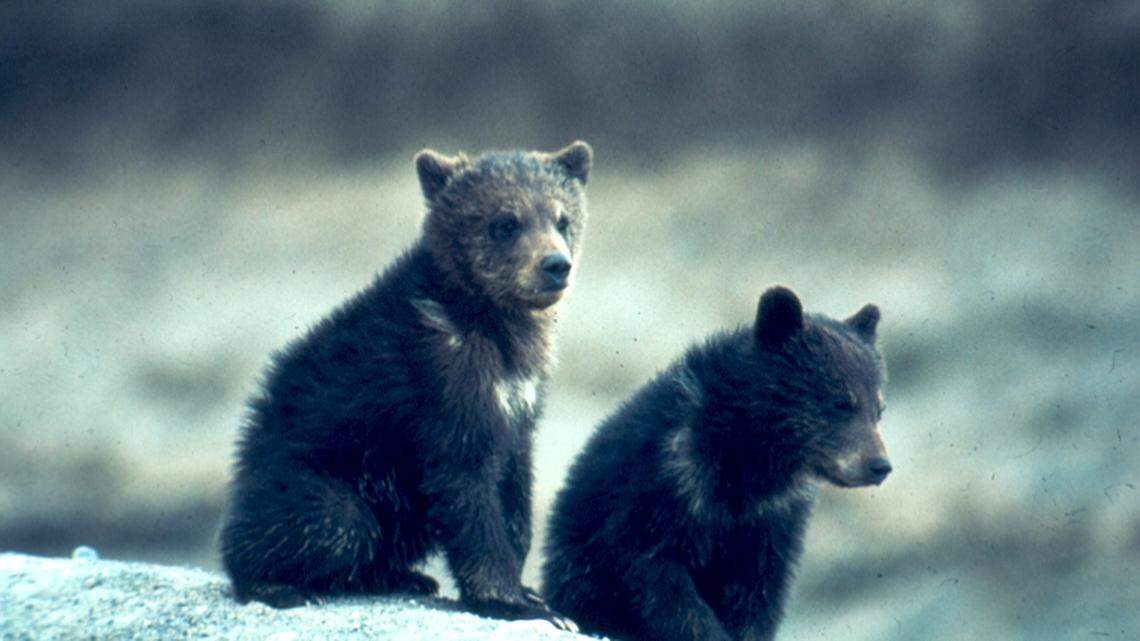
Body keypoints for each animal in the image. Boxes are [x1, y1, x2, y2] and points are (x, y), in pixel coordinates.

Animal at [218, 141, 592, 630]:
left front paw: (531, 590)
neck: (494, 325)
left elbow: (514, 481)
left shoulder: (520, 397)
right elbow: (465, 485)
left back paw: (404, 577)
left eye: (562, 218)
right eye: (505, 222)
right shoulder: (442, 385)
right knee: (334, 519)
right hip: (314, 473)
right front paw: (516, 600)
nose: (555, 265)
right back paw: (278, 585)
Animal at [541, 285, 891, 641]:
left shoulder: (771, 521)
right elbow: (653, 574)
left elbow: (757, 595)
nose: (879, 465)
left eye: (879, 408)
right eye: (841, 402)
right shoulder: (661, 490)